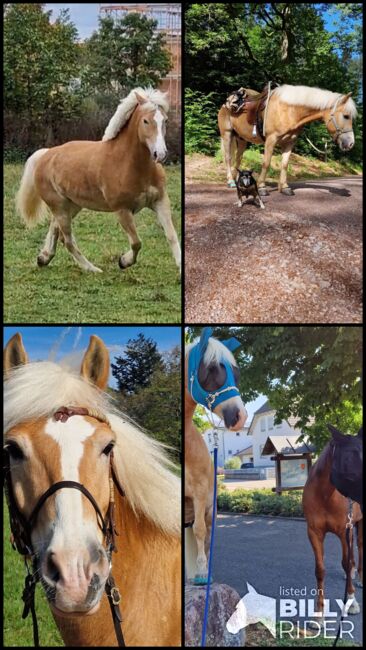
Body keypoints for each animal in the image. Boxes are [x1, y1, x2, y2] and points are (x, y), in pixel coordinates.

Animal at [16, 85, 182, 270]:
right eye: (145, 121)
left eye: (165, 120)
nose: (160, 154)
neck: (129, 163)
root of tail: (45, 154)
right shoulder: (122, 210)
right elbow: (136, 243)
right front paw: (123, 261)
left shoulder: (160, 201)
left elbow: (171, 235)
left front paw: (181, 265)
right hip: (59, 207)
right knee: (67, 240)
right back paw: (92, 269)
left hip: (71, 206)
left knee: (55, 230)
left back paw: (43, 258)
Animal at [219, 82, 356, 192]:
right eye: (346, 116)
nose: (350, 143)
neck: (288, 110)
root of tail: (225, 104)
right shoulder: (271, 139)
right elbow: (266, 163)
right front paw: (262, 187)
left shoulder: (289, 143)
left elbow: (284, 164)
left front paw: (284, 187)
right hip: (227, 134)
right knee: (228, 158)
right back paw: (230, 181)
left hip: (241, 139)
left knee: (238, 159)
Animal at [302, 422, 362, 624]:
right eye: (352, 457)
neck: (325, 495)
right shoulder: (314, 532)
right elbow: (320, 570)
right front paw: (319, 614)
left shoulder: (345, 531)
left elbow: (347, 562)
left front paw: (352, 602)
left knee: (360, 549)